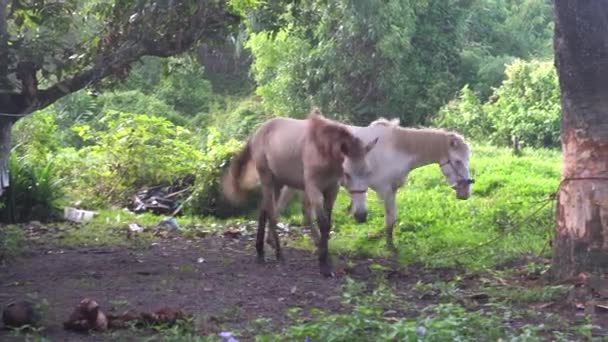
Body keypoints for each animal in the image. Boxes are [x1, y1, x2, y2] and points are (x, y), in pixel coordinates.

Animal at [222, 111, 376, 276]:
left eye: (368, 172)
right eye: (347, 173)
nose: (361, 215)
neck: (320, 149)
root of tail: (257, 133)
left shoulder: (332, 190)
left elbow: (327, 224)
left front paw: (326, 260)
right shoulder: (313, 189)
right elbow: (322, 223)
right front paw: (323, 266)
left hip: (278, 184)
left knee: (264, 211)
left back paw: (260, 252)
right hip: (267, 180)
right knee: (271, 212)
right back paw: (279, 254)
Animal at [276, 118, 476, 251]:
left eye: (468, 159)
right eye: (457, 161)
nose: (466, 192)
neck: (396, 149)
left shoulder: (392, 191)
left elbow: (392, 219)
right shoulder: (385, 191)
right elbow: (390, 219)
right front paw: (389, 246)